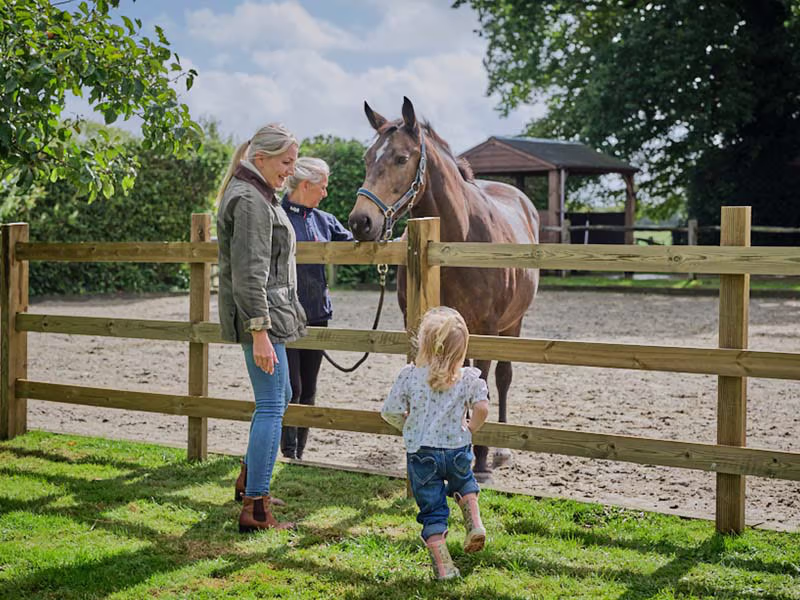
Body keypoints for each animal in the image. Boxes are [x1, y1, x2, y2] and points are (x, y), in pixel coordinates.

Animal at [348, 97, 539, 480]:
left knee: (504, 378)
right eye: (367, 158)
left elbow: (484, 381)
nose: (361, 222)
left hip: (514, 323)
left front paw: (481, 461)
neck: (458, 237)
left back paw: (500, 451)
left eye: (401, 158)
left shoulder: (488, 328)